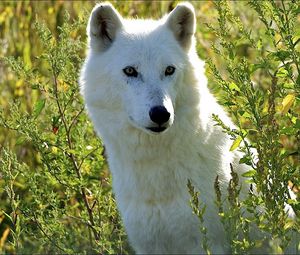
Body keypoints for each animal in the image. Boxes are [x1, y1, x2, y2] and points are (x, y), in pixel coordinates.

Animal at [79, 1, 296, 255]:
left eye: (169, 70)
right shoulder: (149, 245)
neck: (154, 171)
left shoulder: (206, 243)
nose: (161, 114)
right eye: (130, 71)